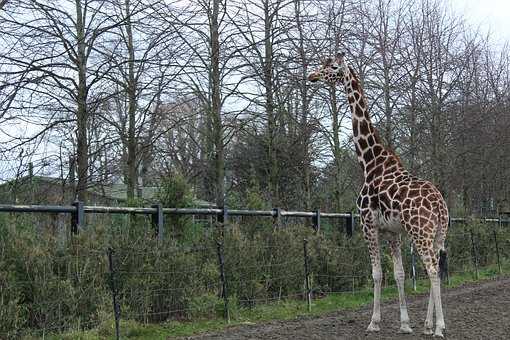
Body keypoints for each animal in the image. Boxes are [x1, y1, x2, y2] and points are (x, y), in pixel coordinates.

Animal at [306, 53, 446, 338]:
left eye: (332, 67)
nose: (312, 76)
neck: (370, 162)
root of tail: (440, 205)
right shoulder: (392, 230)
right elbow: (400, 273)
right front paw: (405, 324)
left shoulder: (367, 224)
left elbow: (377, 273)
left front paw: (373, 322)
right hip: (438, 233)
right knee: (434, 268)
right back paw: (428, 325)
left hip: (420, 232)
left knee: (432, 270)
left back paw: (439, 327)